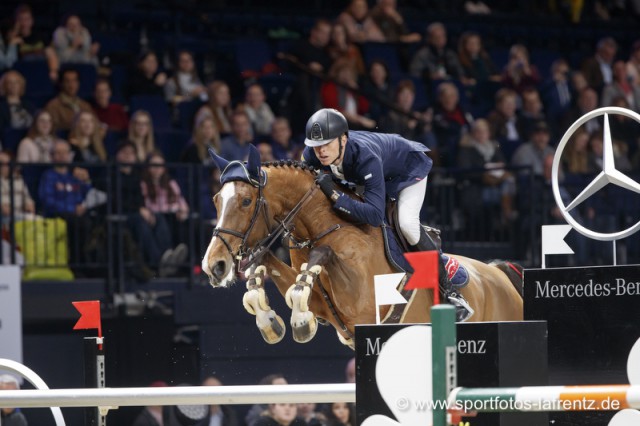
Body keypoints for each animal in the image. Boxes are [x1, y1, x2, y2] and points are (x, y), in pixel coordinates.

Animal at [202, 146, 524, 350]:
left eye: (246, 201)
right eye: (216, 199)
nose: (214, 266)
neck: (321, 224)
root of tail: (499, 274)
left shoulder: (363, 302)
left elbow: (318, 260)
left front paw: (300, 321)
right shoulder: (327, 309)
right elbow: (275, 270)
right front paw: (269, 319)